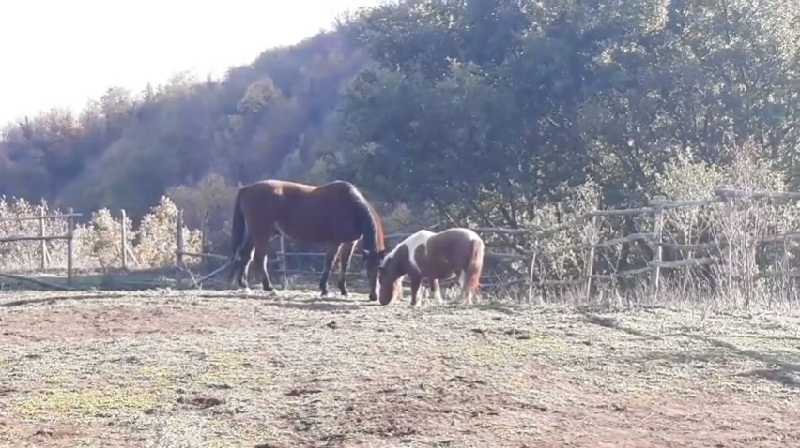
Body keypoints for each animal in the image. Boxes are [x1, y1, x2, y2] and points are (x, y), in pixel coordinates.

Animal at [227, 178, 390, 300]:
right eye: (368, 270)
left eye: (380, 269)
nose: (373, 296)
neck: (352, 208)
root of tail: (248, 188)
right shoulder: (335, 242)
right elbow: (329, 263)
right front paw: (324, 289)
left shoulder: (350, 242)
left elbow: (344, 264)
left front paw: (344, 290)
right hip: (262, 234)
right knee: (260, 258)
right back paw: (269, 288)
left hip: (256, 234)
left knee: (246, 255)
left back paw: (244, 286)